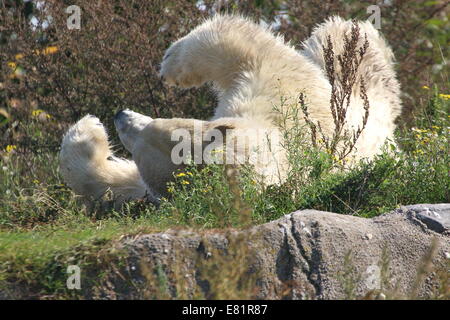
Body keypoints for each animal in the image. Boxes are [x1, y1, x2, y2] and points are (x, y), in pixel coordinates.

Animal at [59, 14, 400, 205]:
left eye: (151, 129)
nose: (119, 116)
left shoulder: (281, 92)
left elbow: (244, 44)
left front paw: (170, 65)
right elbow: (114, 186)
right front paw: (87, 132)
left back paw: (348, 34)